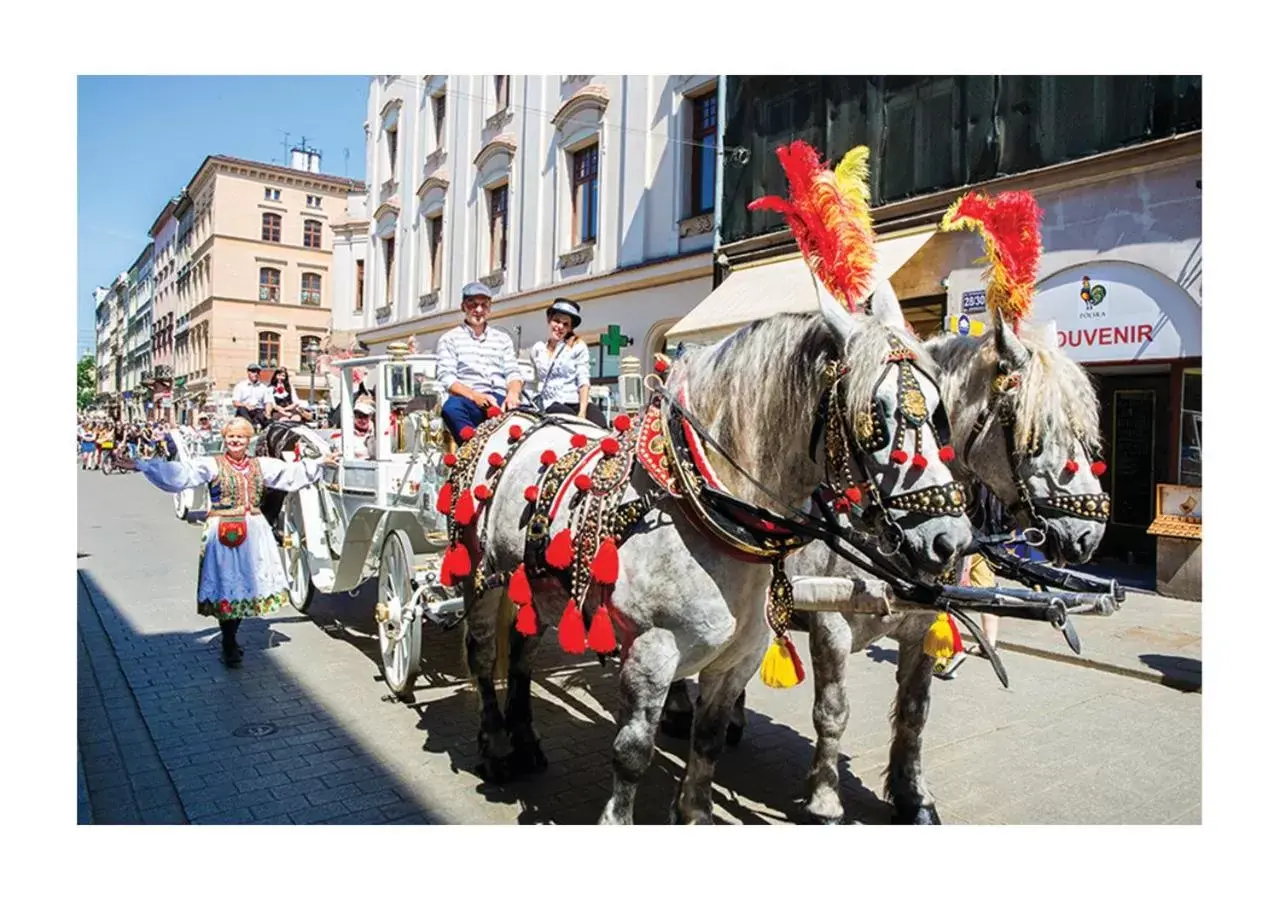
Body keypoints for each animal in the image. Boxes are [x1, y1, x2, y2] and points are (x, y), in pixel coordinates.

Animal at [448, 295, 967, 824]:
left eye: (940, 412)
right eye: (877, 416)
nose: (951, 540)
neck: (705, 503)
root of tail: (513, 416)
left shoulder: (740, 656)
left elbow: (710, 740)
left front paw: (694, 811)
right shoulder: (653, 652)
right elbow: (632, 752)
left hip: (536, 589)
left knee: (523, 652)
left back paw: (527, 741)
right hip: (480, 574)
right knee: (483, 652)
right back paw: (497, 748)